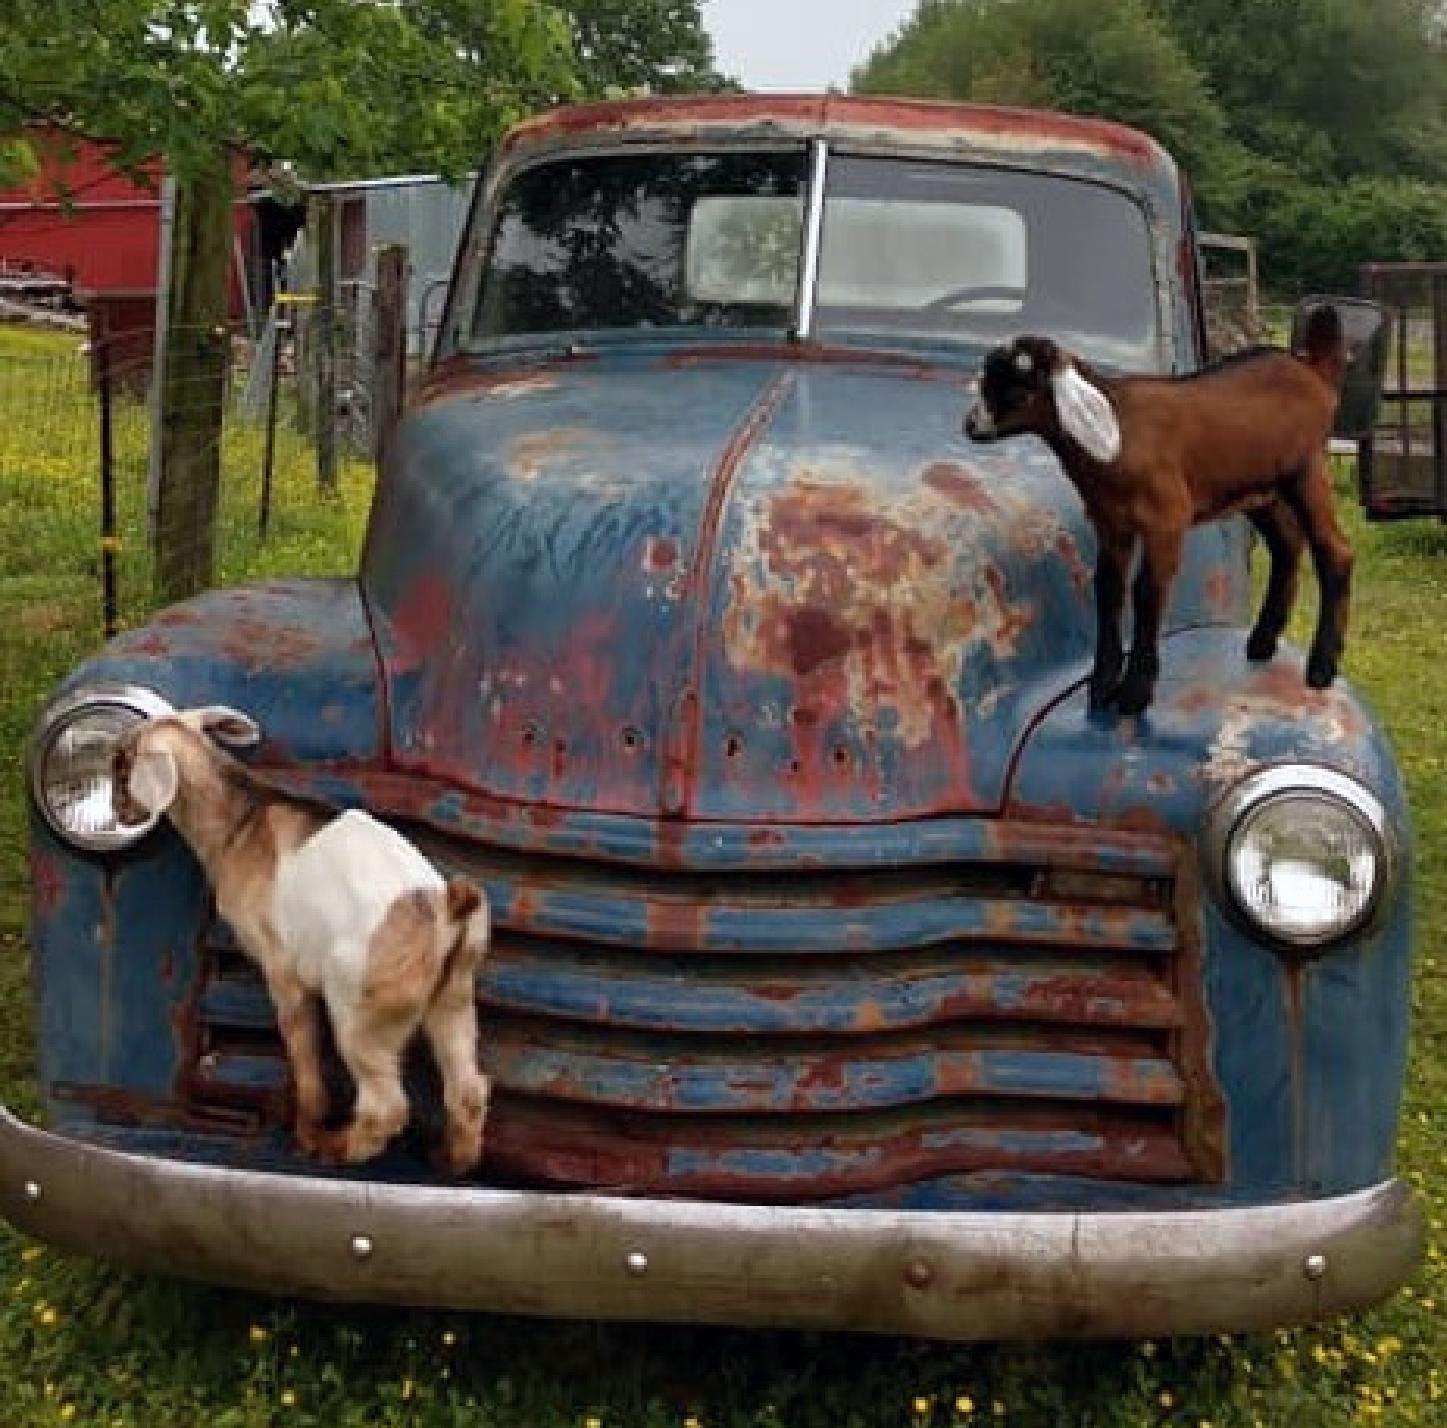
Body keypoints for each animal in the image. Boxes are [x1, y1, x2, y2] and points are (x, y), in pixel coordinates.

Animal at [111, 708, 491, 1180]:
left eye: (120, 764)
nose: (118, 811)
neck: (242, 819)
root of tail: (445, 909)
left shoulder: (282, 970)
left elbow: (304, 1057)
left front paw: (307, 1136)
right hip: (453, 998)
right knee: (468, 1089)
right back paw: (451, 1160)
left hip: (359, 1015)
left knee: (384, 1107)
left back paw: (337, 1148)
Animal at [966, 309, 1348, 714]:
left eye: (1017, 388)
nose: (971, 426)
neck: (1119, 433)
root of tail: (1314, 370)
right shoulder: (1111, 523)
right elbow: (1109, 589)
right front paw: (1102, 686)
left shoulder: (1166, 519)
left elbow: (1147, 592)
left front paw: (1135, 691)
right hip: (1259, 490)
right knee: (1287, 545)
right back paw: (1262, 641)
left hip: (1307, 471)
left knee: (1335, 551)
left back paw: (1321, 666)